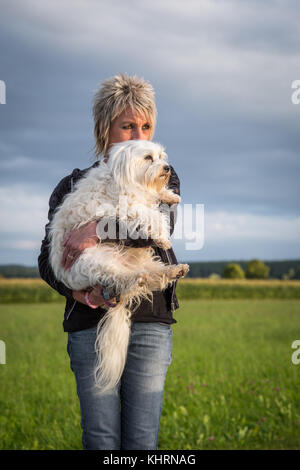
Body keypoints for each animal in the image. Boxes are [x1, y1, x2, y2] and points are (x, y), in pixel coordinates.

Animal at [49, 140, 190, 392]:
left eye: (161, 157)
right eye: (148, 158)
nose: (167, 168)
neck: (127, 178)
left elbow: (156, 200)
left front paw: (170, 195)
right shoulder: (130, 206)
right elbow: (154, 217)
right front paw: (163, 237)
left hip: (143, 260)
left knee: (154, 276)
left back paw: (175, 270)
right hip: (99, 261)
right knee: (124, 279)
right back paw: (136, 279)